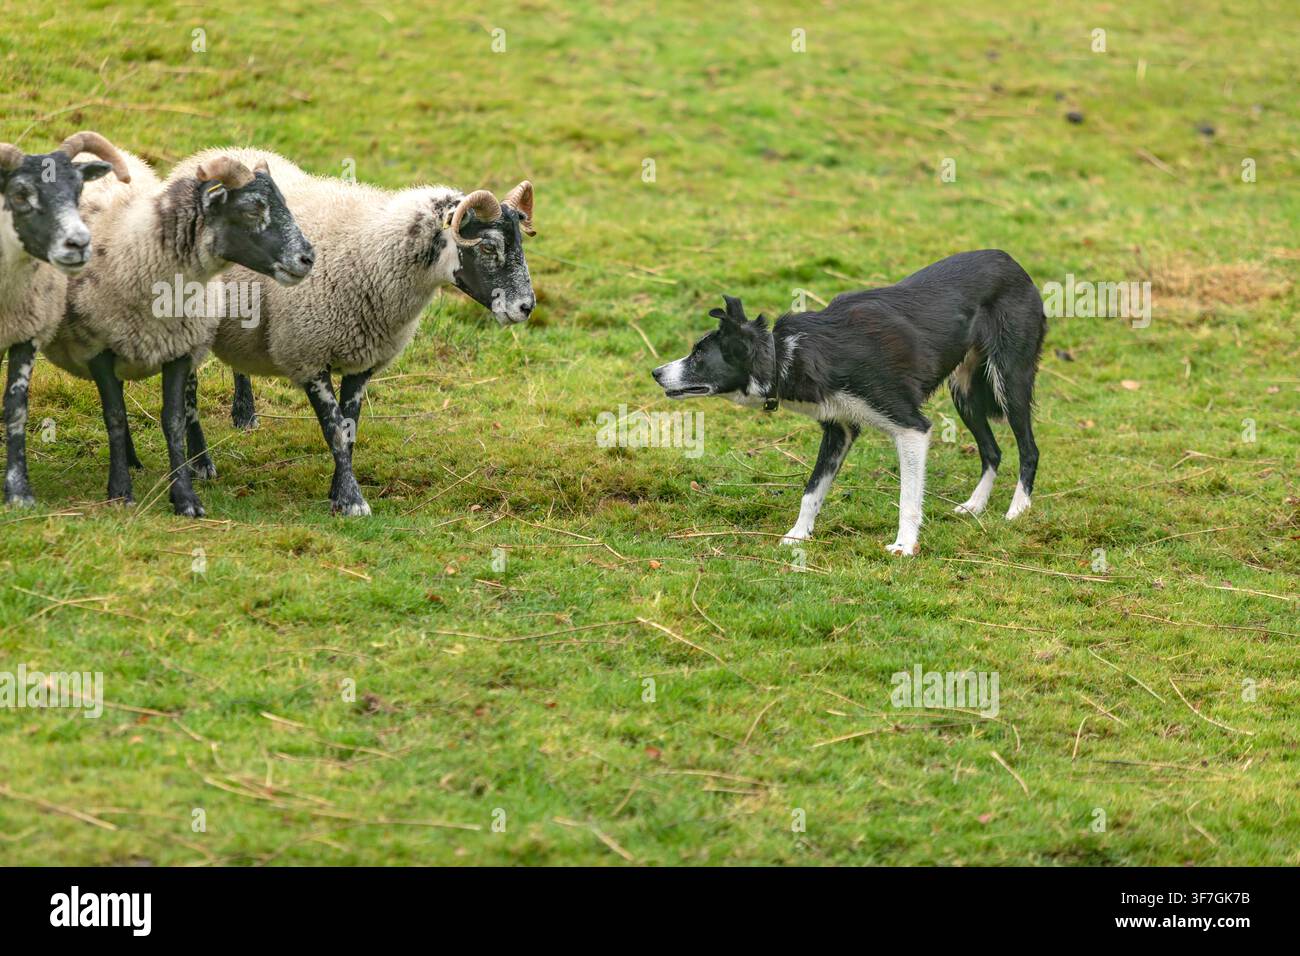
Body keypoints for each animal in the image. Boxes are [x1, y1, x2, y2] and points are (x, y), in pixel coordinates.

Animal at [0, 132, 130, 506]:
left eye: (78, 189)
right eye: (20, 194)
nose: (79, 243)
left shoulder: (25, 334)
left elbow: (16, 408)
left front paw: (19, 493)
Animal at [40, 150, 315, 516]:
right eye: (252, 208)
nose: (307, 257)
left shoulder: (180, 348)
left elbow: (173, 419)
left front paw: (185, 497)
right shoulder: (98, 348)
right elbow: (114, 417)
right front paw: (120, 491)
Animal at [173, 147, 535, 516]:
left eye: (520, 241)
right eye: (488, 246)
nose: (526, 306)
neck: (371, 252)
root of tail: (215, 153)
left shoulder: (364, 361)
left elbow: (350, 431)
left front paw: (338, 491)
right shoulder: (307, 355)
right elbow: (334, 430)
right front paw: (352, 501)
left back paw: (244, 414)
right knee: (189, 394)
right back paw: (200, 463)